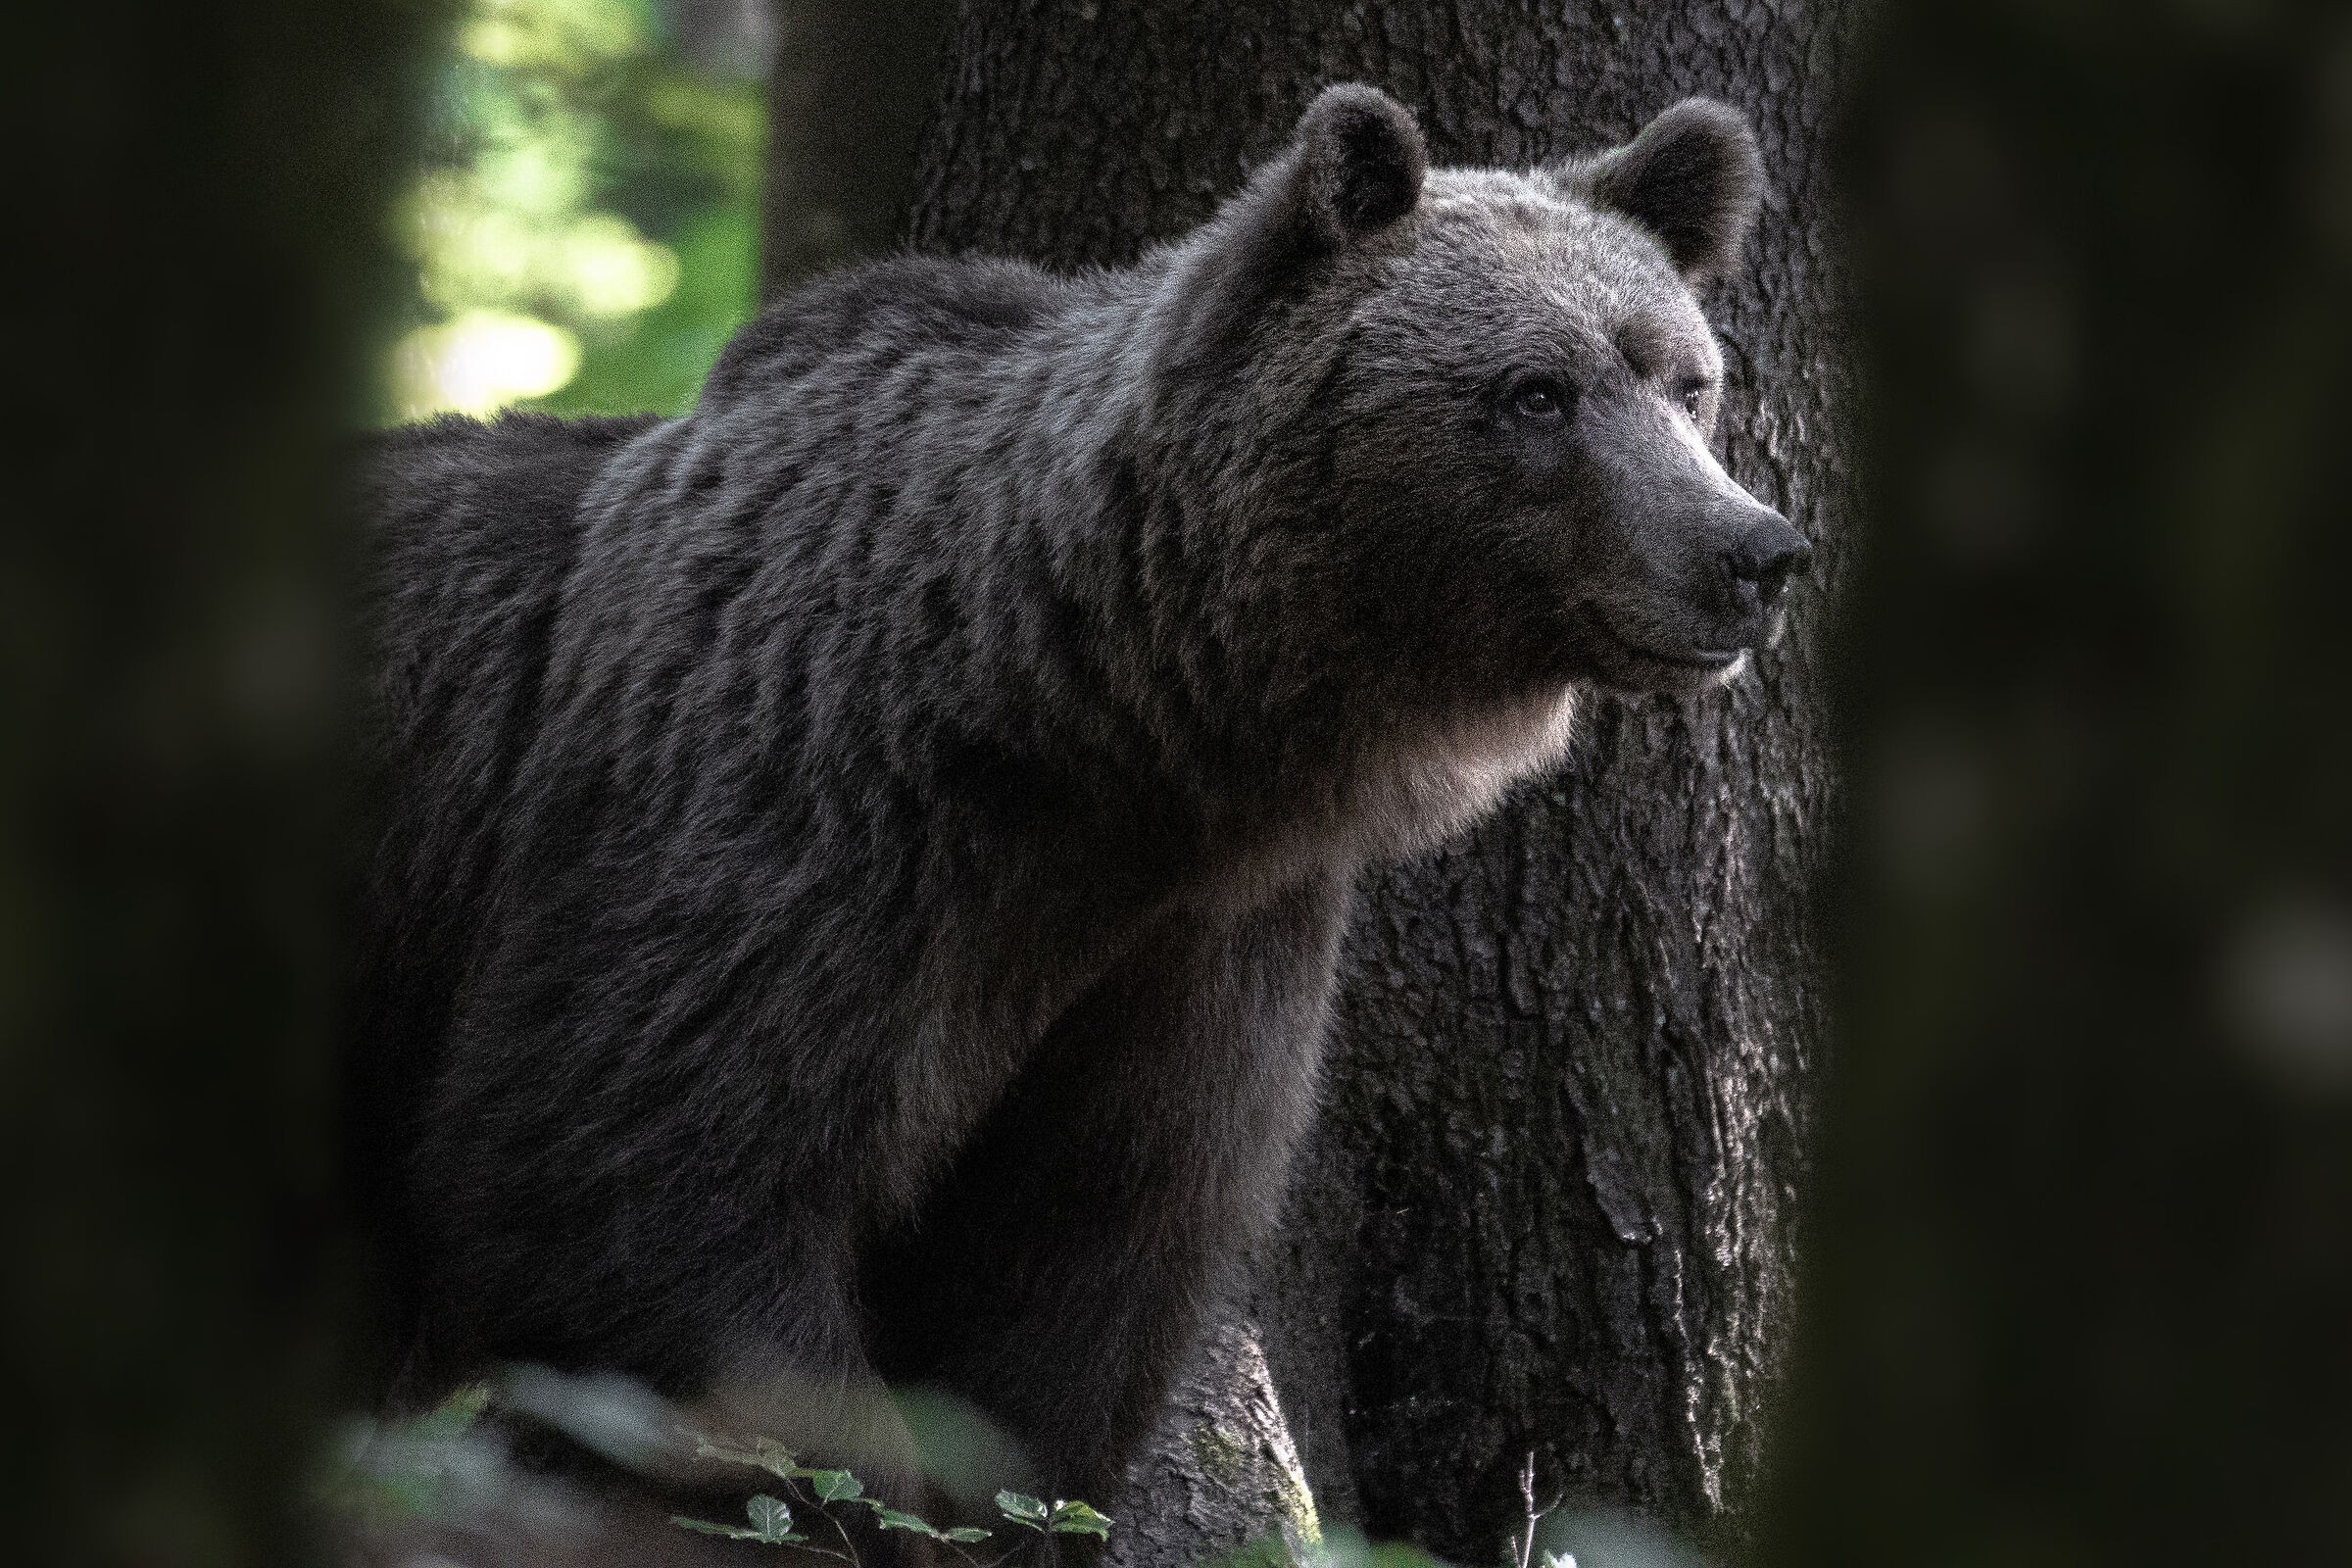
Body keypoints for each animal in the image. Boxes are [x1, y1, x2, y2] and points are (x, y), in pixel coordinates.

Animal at [350, 82, 1808, 1534]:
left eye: (1689, 380)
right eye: (1537, 390)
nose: (1753, 552)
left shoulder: (1192, 939)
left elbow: (1089, 1250)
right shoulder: (782, 823)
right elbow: (641, 1187)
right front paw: (865, 1497)